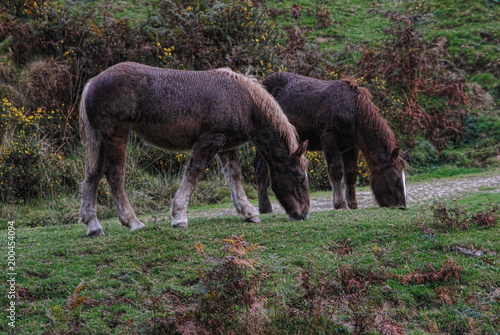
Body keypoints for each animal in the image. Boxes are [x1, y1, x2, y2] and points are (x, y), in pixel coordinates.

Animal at [80, 62, 308, 236]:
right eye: (298, 177)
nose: (303, 214)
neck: (245, 102)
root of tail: (92, 84)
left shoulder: (226, 145)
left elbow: (234, 176)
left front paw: (248, 212)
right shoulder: (210, 140)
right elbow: (194, 172)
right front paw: (179, 216)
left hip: (100, 140)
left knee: (93, 175)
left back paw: (94, 226)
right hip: (116, 135)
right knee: (114, 175)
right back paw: (133, 221)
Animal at [256, 72, 408, 214]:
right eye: (395, 179)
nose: (401, 206)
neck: (351, 109)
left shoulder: (351, 146)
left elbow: (351, 175)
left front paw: (353, 205)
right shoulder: (329, 139)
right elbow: (336, 171)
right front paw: (340, 204)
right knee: (260, 171)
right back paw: (265, 207)